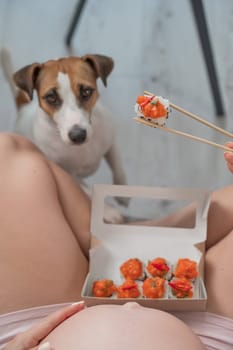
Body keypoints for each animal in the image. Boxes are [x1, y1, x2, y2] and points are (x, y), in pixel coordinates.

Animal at [0, 47, 127, 221]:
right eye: (51, 97)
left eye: (87, 91)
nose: (78, 135)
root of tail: (23, 109)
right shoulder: (68, 176)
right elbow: (91, 192)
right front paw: (108, 211)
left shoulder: (111, 142)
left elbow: (118, 168)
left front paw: (123, 193)